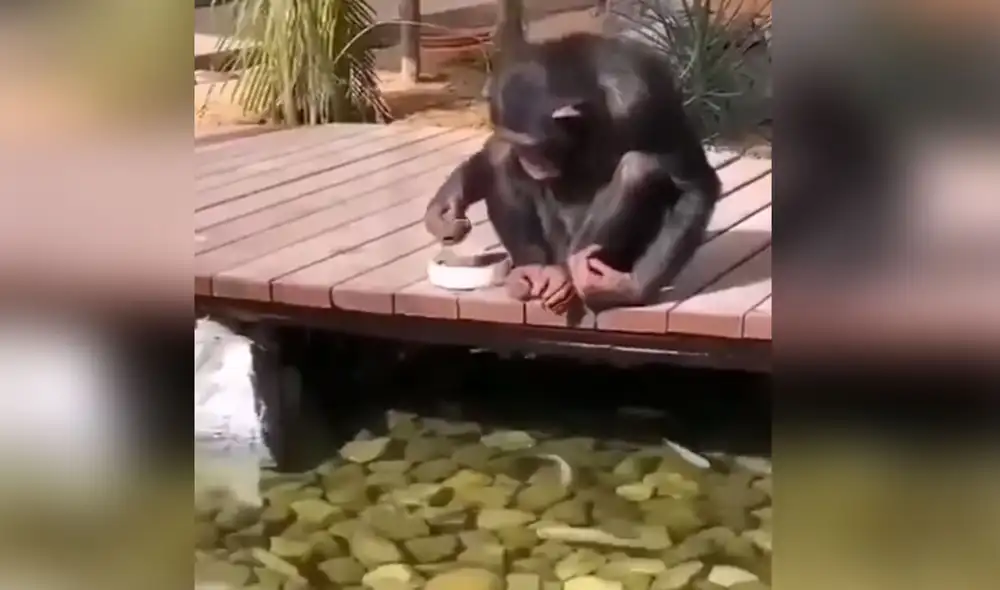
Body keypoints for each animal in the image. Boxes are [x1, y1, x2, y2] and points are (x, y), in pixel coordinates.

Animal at [424, 32, 722, 313]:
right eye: (522, 145)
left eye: (534, 146)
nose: (530, 161)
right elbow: (495, 147)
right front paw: (446, 204)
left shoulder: (648, 99)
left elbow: (693, 183)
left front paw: (629, 288)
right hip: (551, 250)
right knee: (500, 155)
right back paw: (532, 270)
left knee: (639, 168)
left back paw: (569, 277)